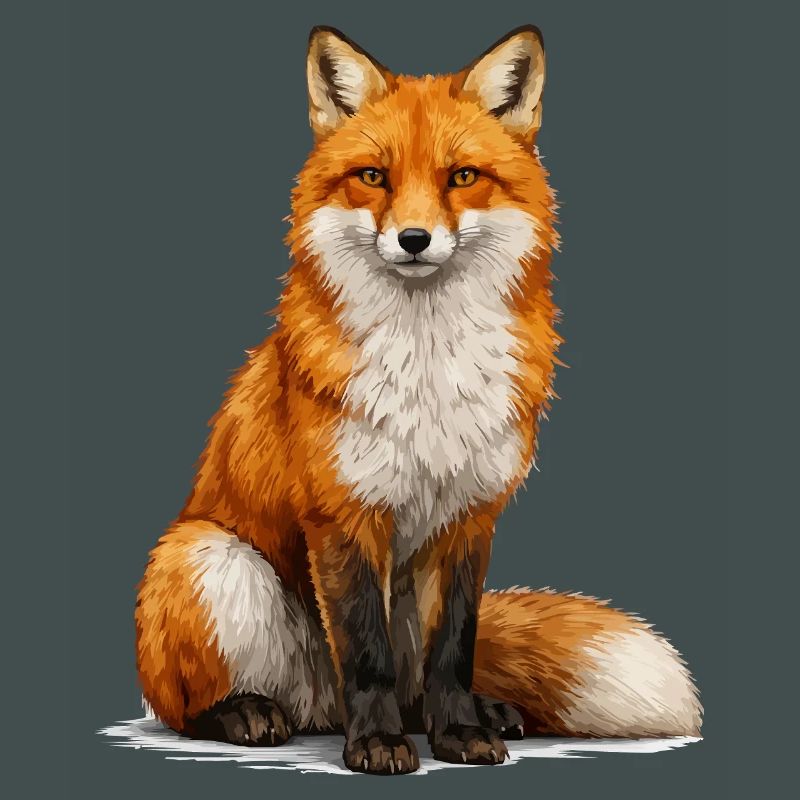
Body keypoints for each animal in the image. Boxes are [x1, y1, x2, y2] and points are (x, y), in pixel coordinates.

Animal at [135, 25, 702, 775]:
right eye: (374, 177)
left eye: (461, 177)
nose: (412, 239)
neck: (430, 369)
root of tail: (317, 708)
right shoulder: (344, 514)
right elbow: (365, 652)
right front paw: (376, 746)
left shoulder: (469, 517)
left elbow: (453, 650)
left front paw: (459, 731)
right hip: (209, 558)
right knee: (188, 705)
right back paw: (245, 713)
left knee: (418, 686)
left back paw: (472, 713)